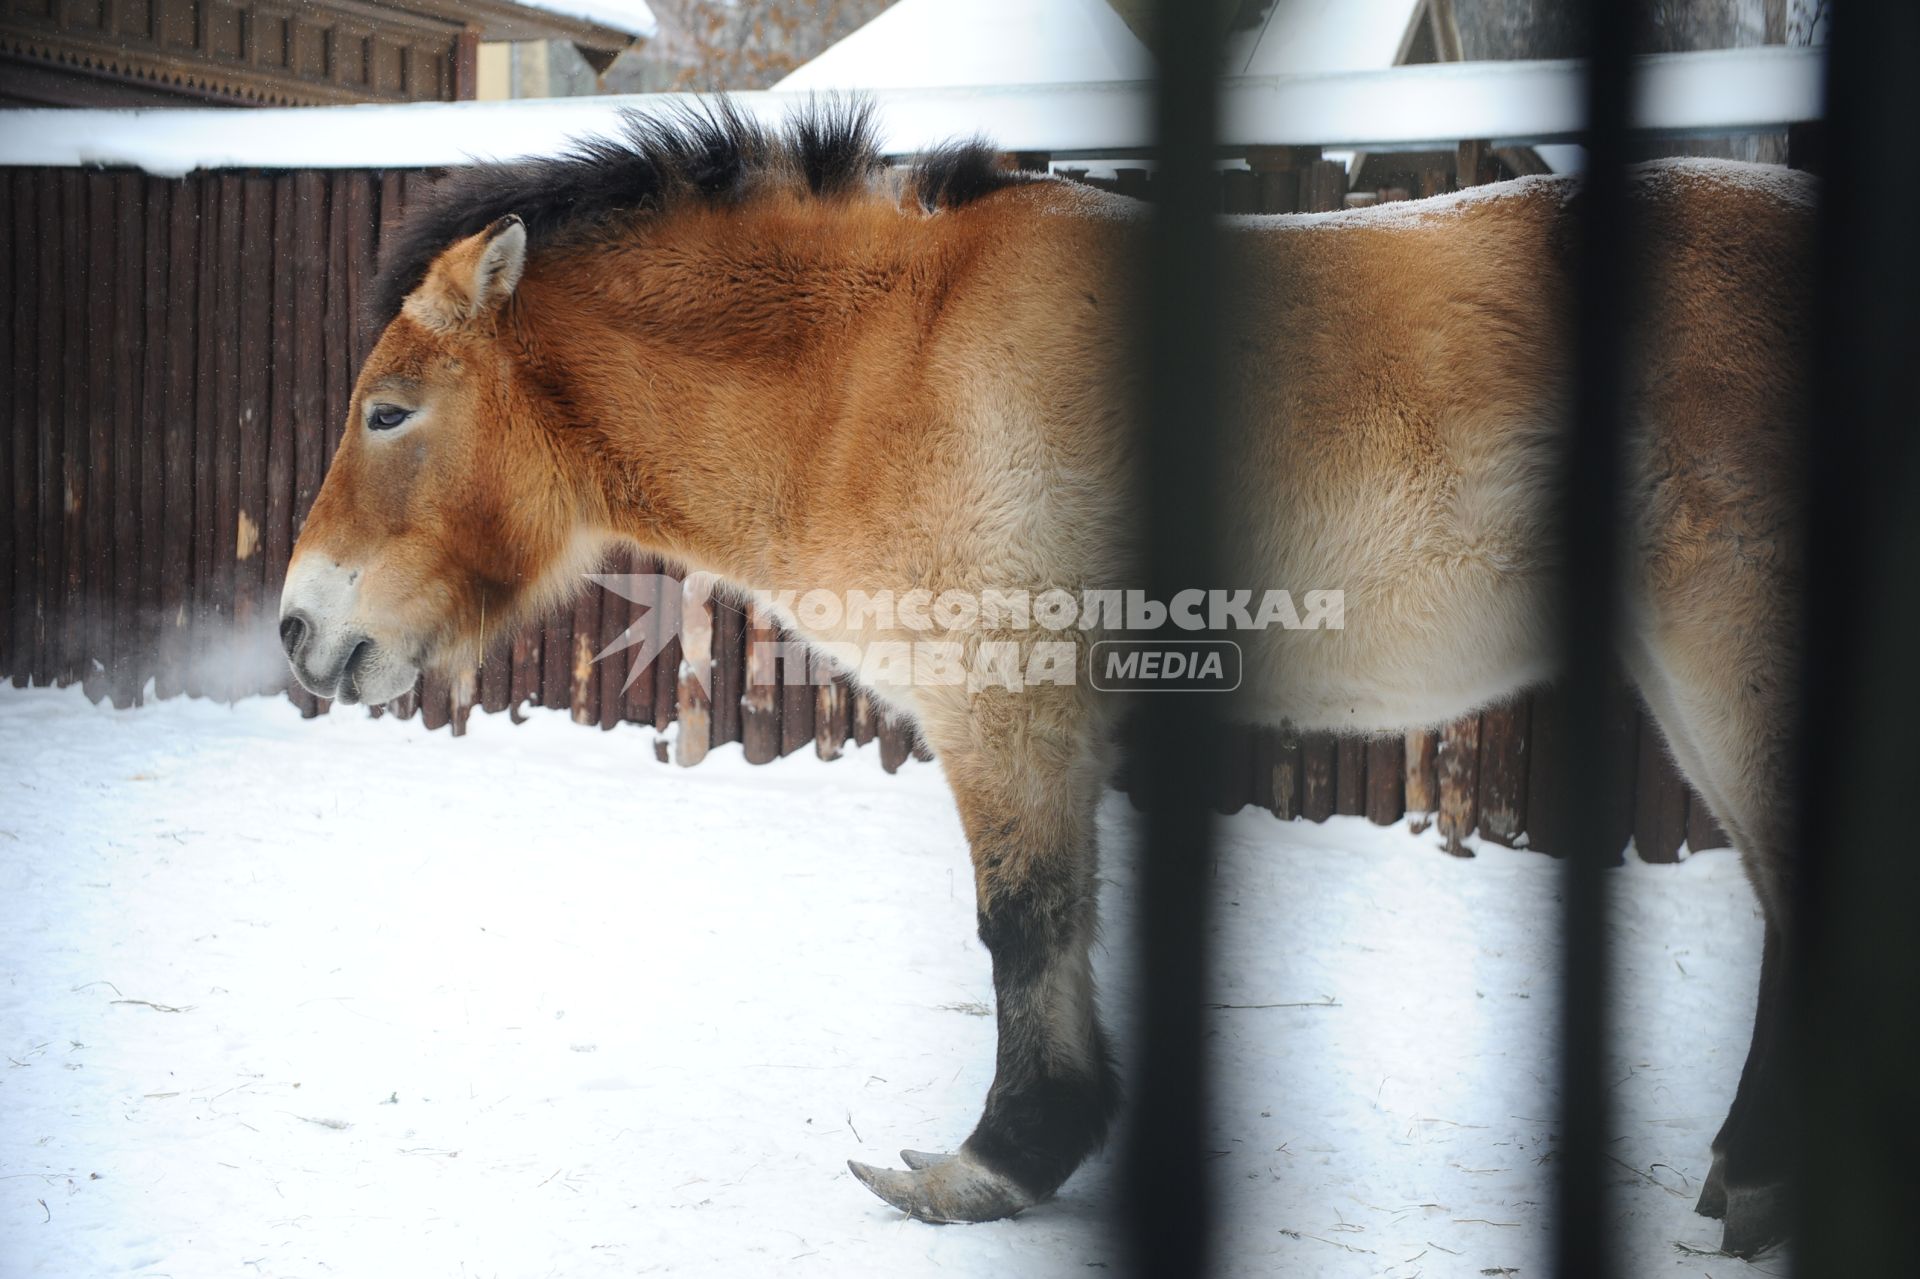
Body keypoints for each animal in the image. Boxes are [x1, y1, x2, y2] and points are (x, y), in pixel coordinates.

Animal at [274, 102, 1812, 1252]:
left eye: (389, 411)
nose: (297, 628)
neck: (884, 361)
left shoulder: (1005, 706)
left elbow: (1022, 924)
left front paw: (994, 1163)